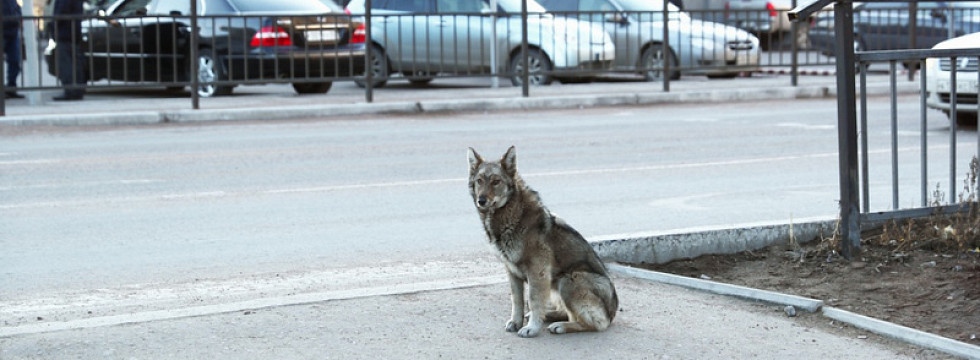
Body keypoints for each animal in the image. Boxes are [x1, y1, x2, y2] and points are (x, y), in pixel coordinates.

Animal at [468, 146, 620, 338]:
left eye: (496, 181)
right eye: (479, 181)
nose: (481, 200)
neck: (511, 214)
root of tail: (612, 313)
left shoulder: (537, 271)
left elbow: (533, 300)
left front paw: (532, 328)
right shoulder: (511, 271)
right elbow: (517, 301)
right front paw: (516, 322)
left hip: (569, 281)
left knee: (594, 323)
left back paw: (560, 325)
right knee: (566, 312)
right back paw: (549, 316)